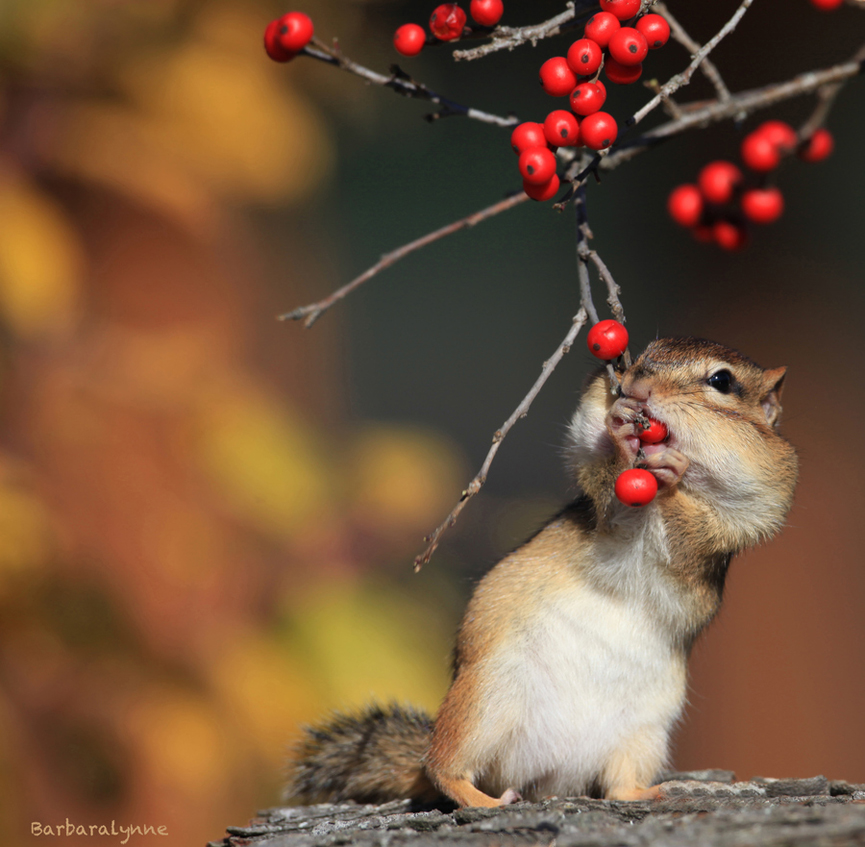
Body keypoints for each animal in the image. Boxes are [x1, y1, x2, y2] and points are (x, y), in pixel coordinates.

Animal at [285, 336, 799, 808]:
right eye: (641, 356)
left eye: (722, 382)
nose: (637, 387)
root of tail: (553, 771)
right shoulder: (604, 493)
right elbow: (594, 454)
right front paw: (618, 426)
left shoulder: (754, 503)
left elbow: (704, 524)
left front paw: (673, 469)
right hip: (484, 699)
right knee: (442, 769)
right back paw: (485, 800)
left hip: (642, 733)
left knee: (616, 787)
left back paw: (651, 791)